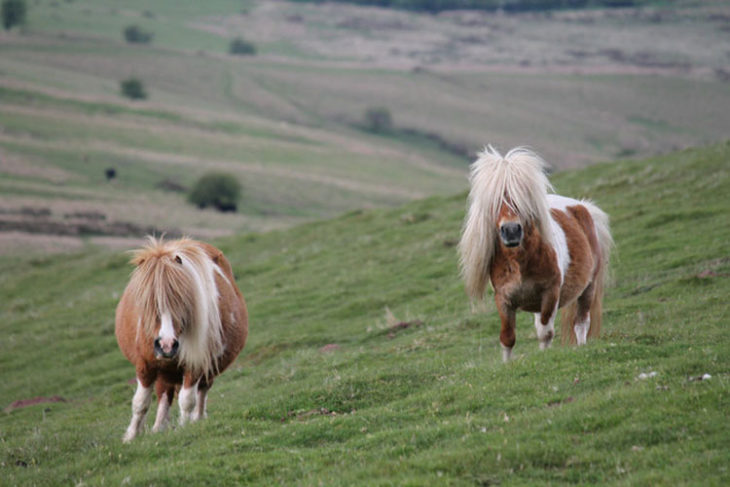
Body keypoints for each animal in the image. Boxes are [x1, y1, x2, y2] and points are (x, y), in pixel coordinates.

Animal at [114, 236, 247, 442]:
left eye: (182, 301)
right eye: (147, 303)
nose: (166, 345)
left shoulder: (196, 364)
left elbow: (187, 400)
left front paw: (184, 428)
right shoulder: (145, 365)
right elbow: (141, 402)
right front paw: (131, 437)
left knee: (201, 391)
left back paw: (197, 419)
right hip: (164, 371)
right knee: (164, 395)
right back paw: (159, 427)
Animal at [458, 147, 612, 364]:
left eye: (521, 197)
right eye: (495, 201)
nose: (511, 231)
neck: (520, 263)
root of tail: (582, 206)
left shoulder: (550, 293)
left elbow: (545, 333)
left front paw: (544, 357)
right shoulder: (504, 299)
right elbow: (507, 337)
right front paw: (507, 364)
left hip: (588, 287)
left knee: (581, 323)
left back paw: (581, 346)